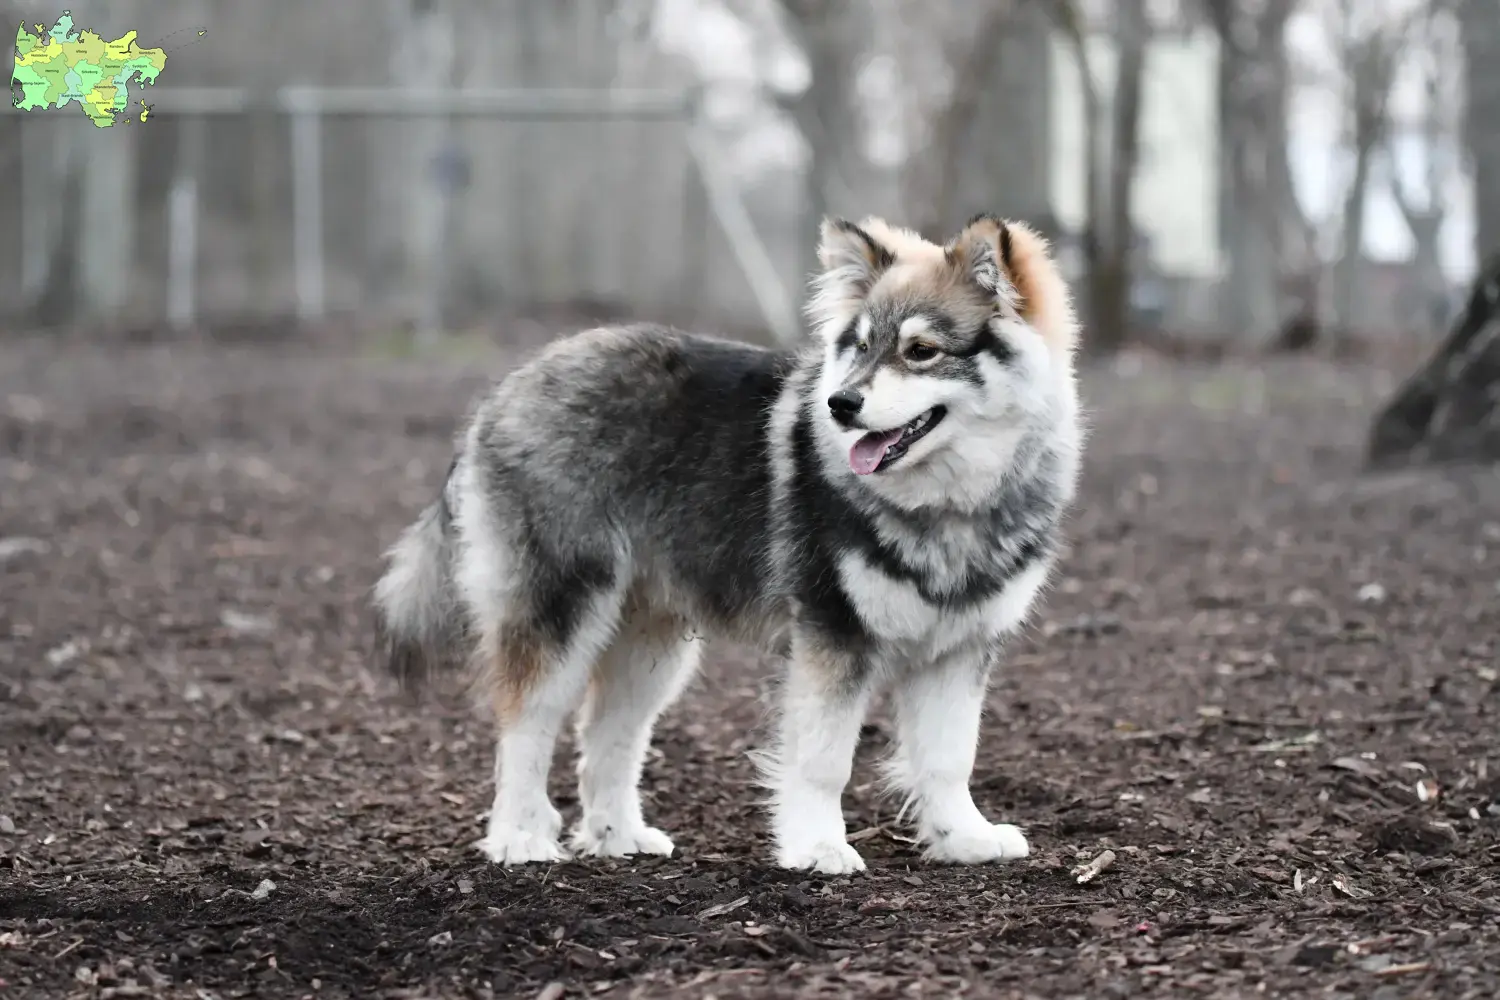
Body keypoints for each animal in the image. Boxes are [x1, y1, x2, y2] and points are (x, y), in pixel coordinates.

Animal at [370, 212, 1086, 875]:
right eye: (857, 347)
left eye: (921, 351)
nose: (840, 404)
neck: (949, 504)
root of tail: (507, 388)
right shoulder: (833, 636)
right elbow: (824, 760)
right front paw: (819, 847)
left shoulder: (960, 648)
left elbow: (948, 759)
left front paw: (963, 837)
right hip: (561, 609)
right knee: (526, 724)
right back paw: (519, 837)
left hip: (650, 643)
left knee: (608, 736)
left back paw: (617, 836)